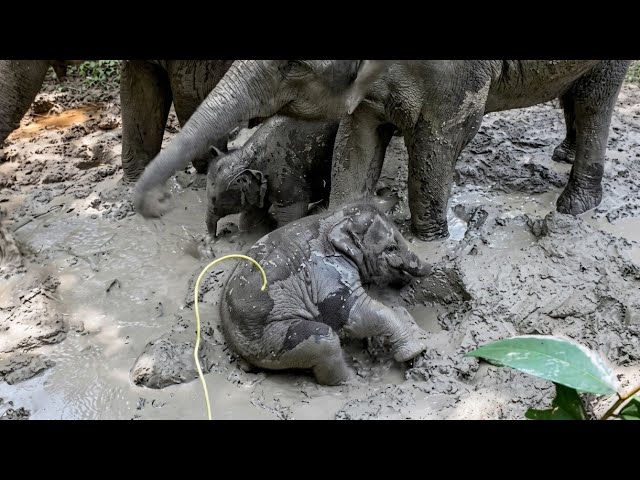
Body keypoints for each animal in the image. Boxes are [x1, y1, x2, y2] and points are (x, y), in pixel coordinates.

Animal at [206, 115, 339, 237]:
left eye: (214, 200)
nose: (212, 239)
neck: (249, 154)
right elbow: (253, 214)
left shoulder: (284, 178)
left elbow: (292, 215)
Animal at [220, 202, 431, 385]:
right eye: (391, 248)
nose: (430, 267)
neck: (333, 217)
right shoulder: (326, 269)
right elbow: (352, 314)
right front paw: (415, 352)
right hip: (271, 340)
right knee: (324, 339)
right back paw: (353, 381)